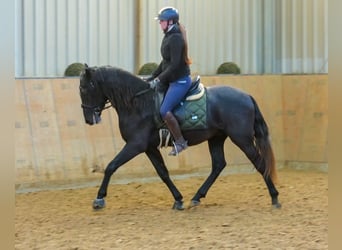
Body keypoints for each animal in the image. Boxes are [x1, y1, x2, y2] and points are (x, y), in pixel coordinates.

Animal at [79, 65, 280, 211]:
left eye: (84, 88)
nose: (88, 119)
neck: (137, 103)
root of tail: (247, 96)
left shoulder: (136, 145)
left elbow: (111, 166)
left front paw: (99, 199)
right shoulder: (149, 147)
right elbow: (163, 173)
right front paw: (178, 199)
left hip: (241, 139)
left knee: (260, 163)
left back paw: (275, 197)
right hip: (216, 137)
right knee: (218, 165)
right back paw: (196, 197)